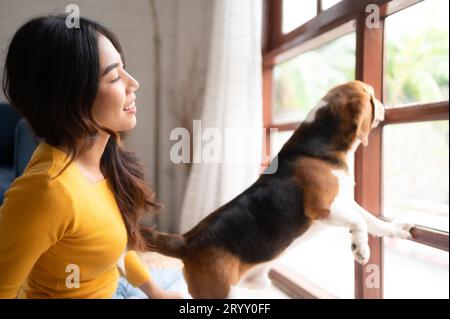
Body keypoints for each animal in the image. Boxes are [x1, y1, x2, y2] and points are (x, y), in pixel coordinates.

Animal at [142, 80, 414, 300]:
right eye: (372, 94)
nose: (385, 106)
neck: (320, 144)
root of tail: (187, 241)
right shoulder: (323, 207)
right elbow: (360, 221)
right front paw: (360, 248)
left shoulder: (344, 201)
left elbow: (371, 219)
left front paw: (395, 230)